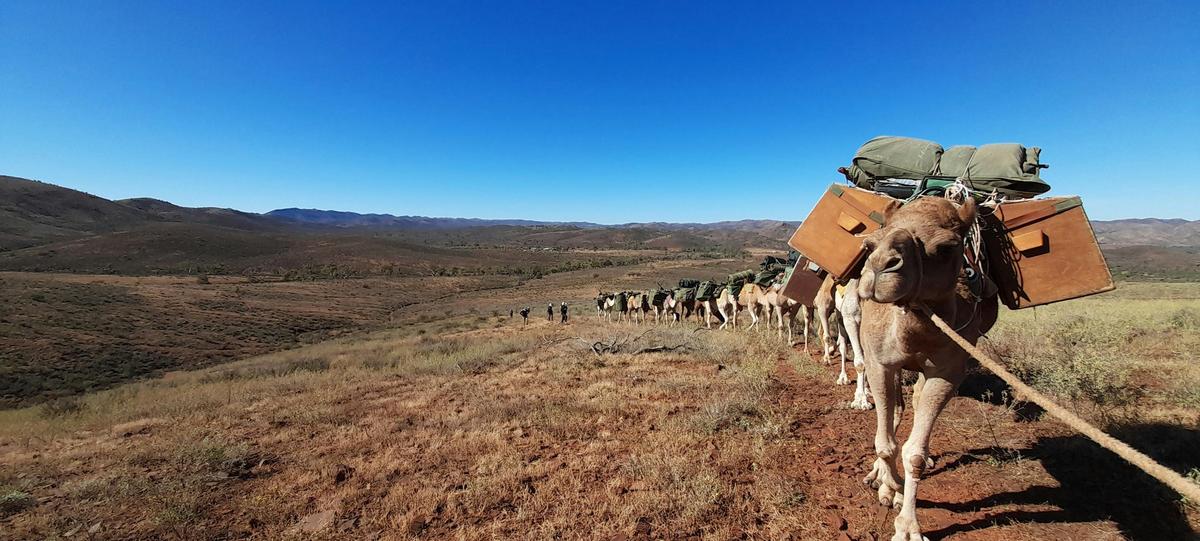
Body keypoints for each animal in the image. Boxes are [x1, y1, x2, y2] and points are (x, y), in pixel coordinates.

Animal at [856, 196, 998, 541]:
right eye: (870, 244)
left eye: (946, 247)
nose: (880, 266)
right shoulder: (880, 363)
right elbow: (885, 443)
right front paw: (890, 486)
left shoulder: (948, 371)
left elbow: (915, 455)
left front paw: (908, 526)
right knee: (894, 414)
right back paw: (880, 478)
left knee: (915, 402)